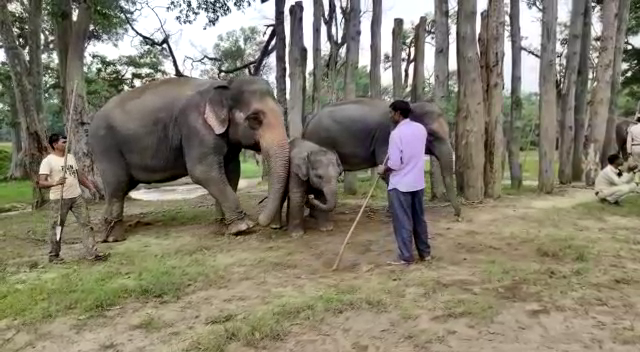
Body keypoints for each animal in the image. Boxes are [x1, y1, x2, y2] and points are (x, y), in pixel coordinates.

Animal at [88, 75, 290, 241]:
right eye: (255, 118)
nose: (262, 221)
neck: (224, 84)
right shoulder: (195, 126)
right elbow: (203, 171)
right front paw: (243, 227)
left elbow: (232, 172)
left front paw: (222, 227)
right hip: (106, 146)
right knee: (118, 185)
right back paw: (114, 238)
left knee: (121, 188)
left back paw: (107, 235)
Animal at [302, 97, 462, 217]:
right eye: (432, 135)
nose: (457, 215)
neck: (412, 106)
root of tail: (308, 122)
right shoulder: (387, 137)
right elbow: (388, 166)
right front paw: (393, 213)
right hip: (321, 142)